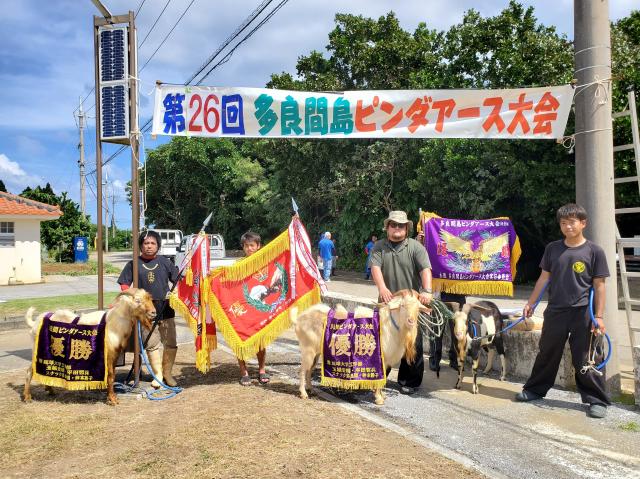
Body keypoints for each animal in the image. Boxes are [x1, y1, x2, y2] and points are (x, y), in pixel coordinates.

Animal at [24, 288, 157, 404]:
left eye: (149, 299)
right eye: (138, 300)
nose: (153, 312)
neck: (113, 324)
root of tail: (35, 322)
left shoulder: (115, 355)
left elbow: (113, 375)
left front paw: (113, 398)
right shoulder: (108, 355)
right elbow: (110, 376)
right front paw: (112, 400)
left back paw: (50, 390)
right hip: (37, 351)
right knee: (30, 370)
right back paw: (27, 397)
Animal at [290, 290, 424, 406]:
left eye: (418, 307)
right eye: (402, 305)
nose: (411, 321)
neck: (388, 326)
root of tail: (298, 319)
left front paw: (382, 395)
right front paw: (379, 399)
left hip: (316, 353)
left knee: (309, 370)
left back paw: (311, 389)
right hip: (308, 350)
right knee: (302, 370)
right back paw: (303, 393)